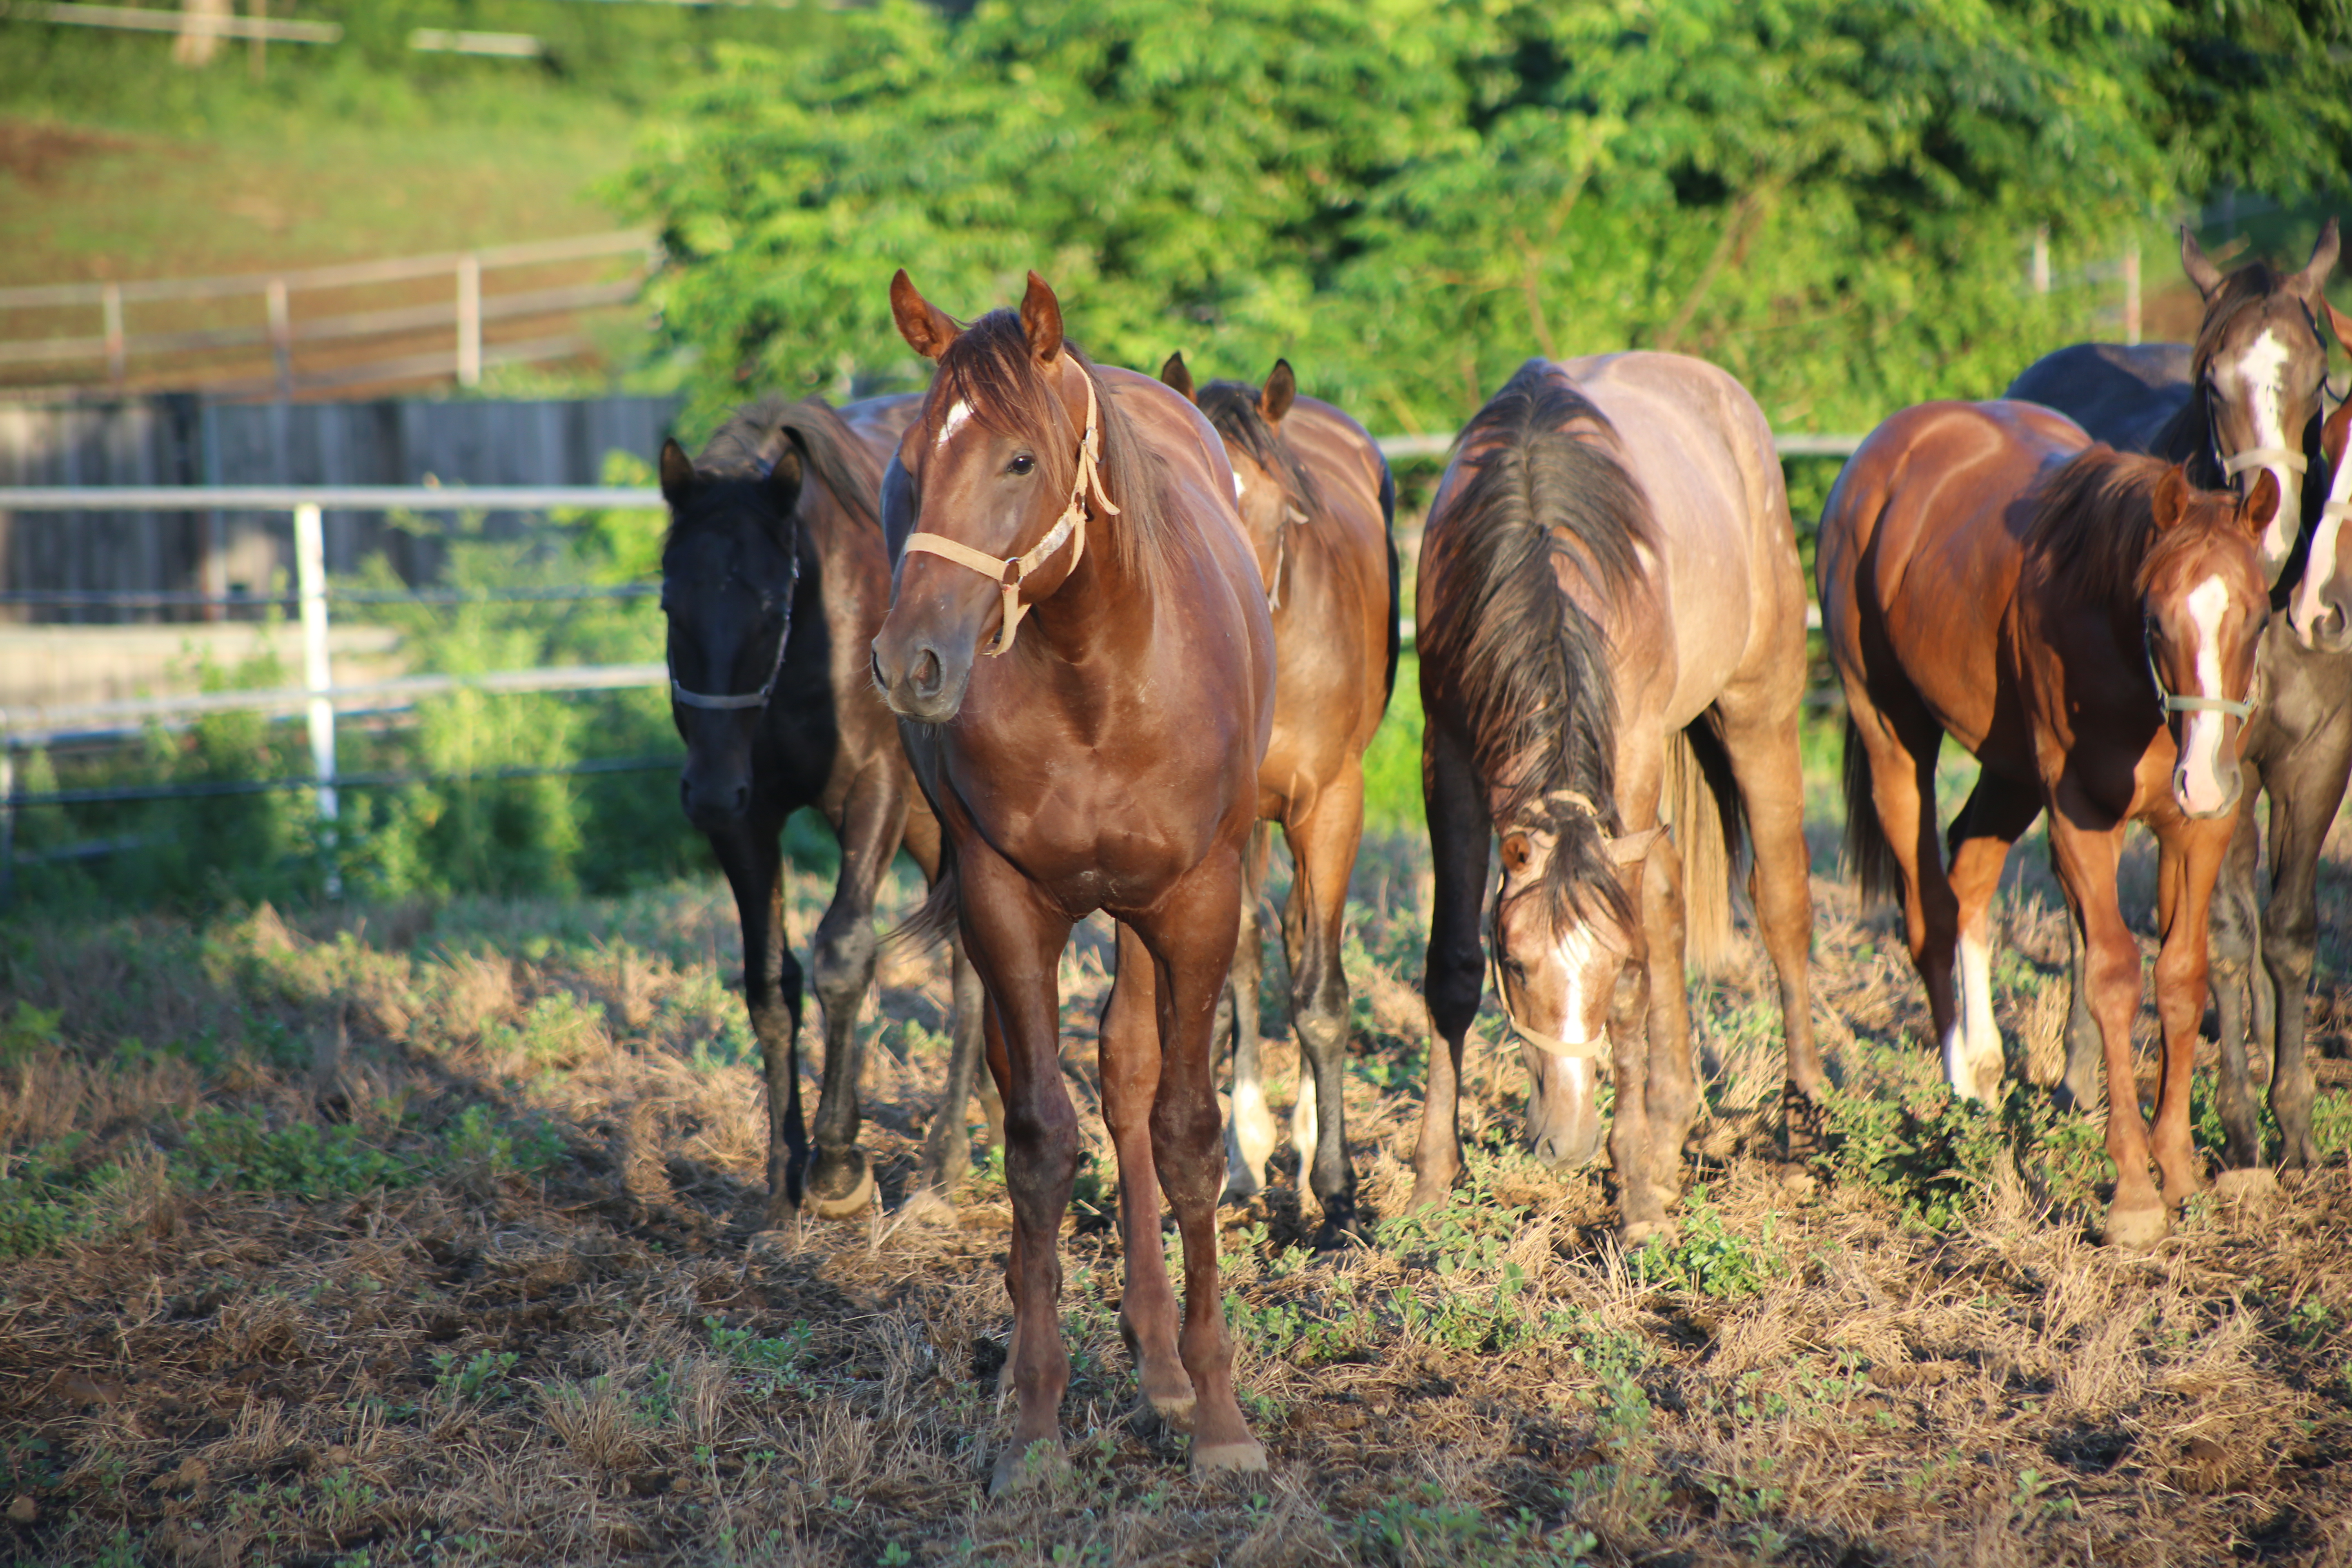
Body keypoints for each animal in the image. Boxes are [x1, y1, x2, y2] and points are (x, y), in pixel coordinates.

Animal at [658, 399, 997, 1232]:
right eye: (670, 605)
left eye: (771, 606)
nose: (705, 790)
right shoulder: (745, 817)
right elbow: (769, 980)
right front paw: (784, 1172)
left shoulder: (873, 792)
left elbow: (844, 954)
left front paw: (839, 1164)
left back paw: (944, 1158)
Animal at [870, 272, 1279, 1495]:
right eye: (915, 454)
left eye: (1018, 460)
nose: (908, 661)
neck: (1099, 675)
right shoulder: (1006, 903)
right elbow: (1039, 1144)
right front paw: (1038, 1422)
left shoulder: (1195, 903)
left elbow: (1187, 1134)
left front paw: (1220, 1417)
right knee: (1040, 1080)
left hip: (1152, 919)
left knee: (1131, 1072)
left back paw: (1162, 1364)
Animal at [1157, 350, 1392, 1241]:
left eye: (1285, 514)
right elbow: (1226, 980)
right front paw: (1237, 1161)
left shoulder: (1331, 805)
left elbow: (1321, 995)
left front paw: (1336, 1190)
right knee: (1257, 950)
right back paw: (1252, 1151)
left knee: (1298, 939)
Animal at [1401, 350, 1825, 1241]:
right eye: (1516, 963)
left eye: (1606, 967)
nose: (1567, 1143)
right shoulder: (1446, 751)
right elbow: (1450, 965)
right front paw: (1429, 1185)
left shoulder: (1628, 754)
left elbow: (1640, 981)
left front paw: (1634, 1200)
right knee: (1666, 904)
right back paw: (1671, 1125)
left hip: (1758, 710)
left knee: (1779, 903)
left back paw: (1801, 1121)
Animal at [1815, 399, 2276, 1241]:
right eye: (2156, 621)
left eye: (2258, 619)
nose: (2204, 777)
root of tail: (1891, 445)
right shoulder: (2082, 818)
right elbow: (2113, 975)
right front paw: (2133, 1191)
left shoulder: (2197, 832)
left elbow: (2182, 976)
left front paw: (2180, 1169)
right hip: (1894, 736)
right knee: (1929, 910)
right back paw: (1960, 1089)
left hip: (2008, 769)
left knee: (1969, 871)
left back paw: (1986, 1068)